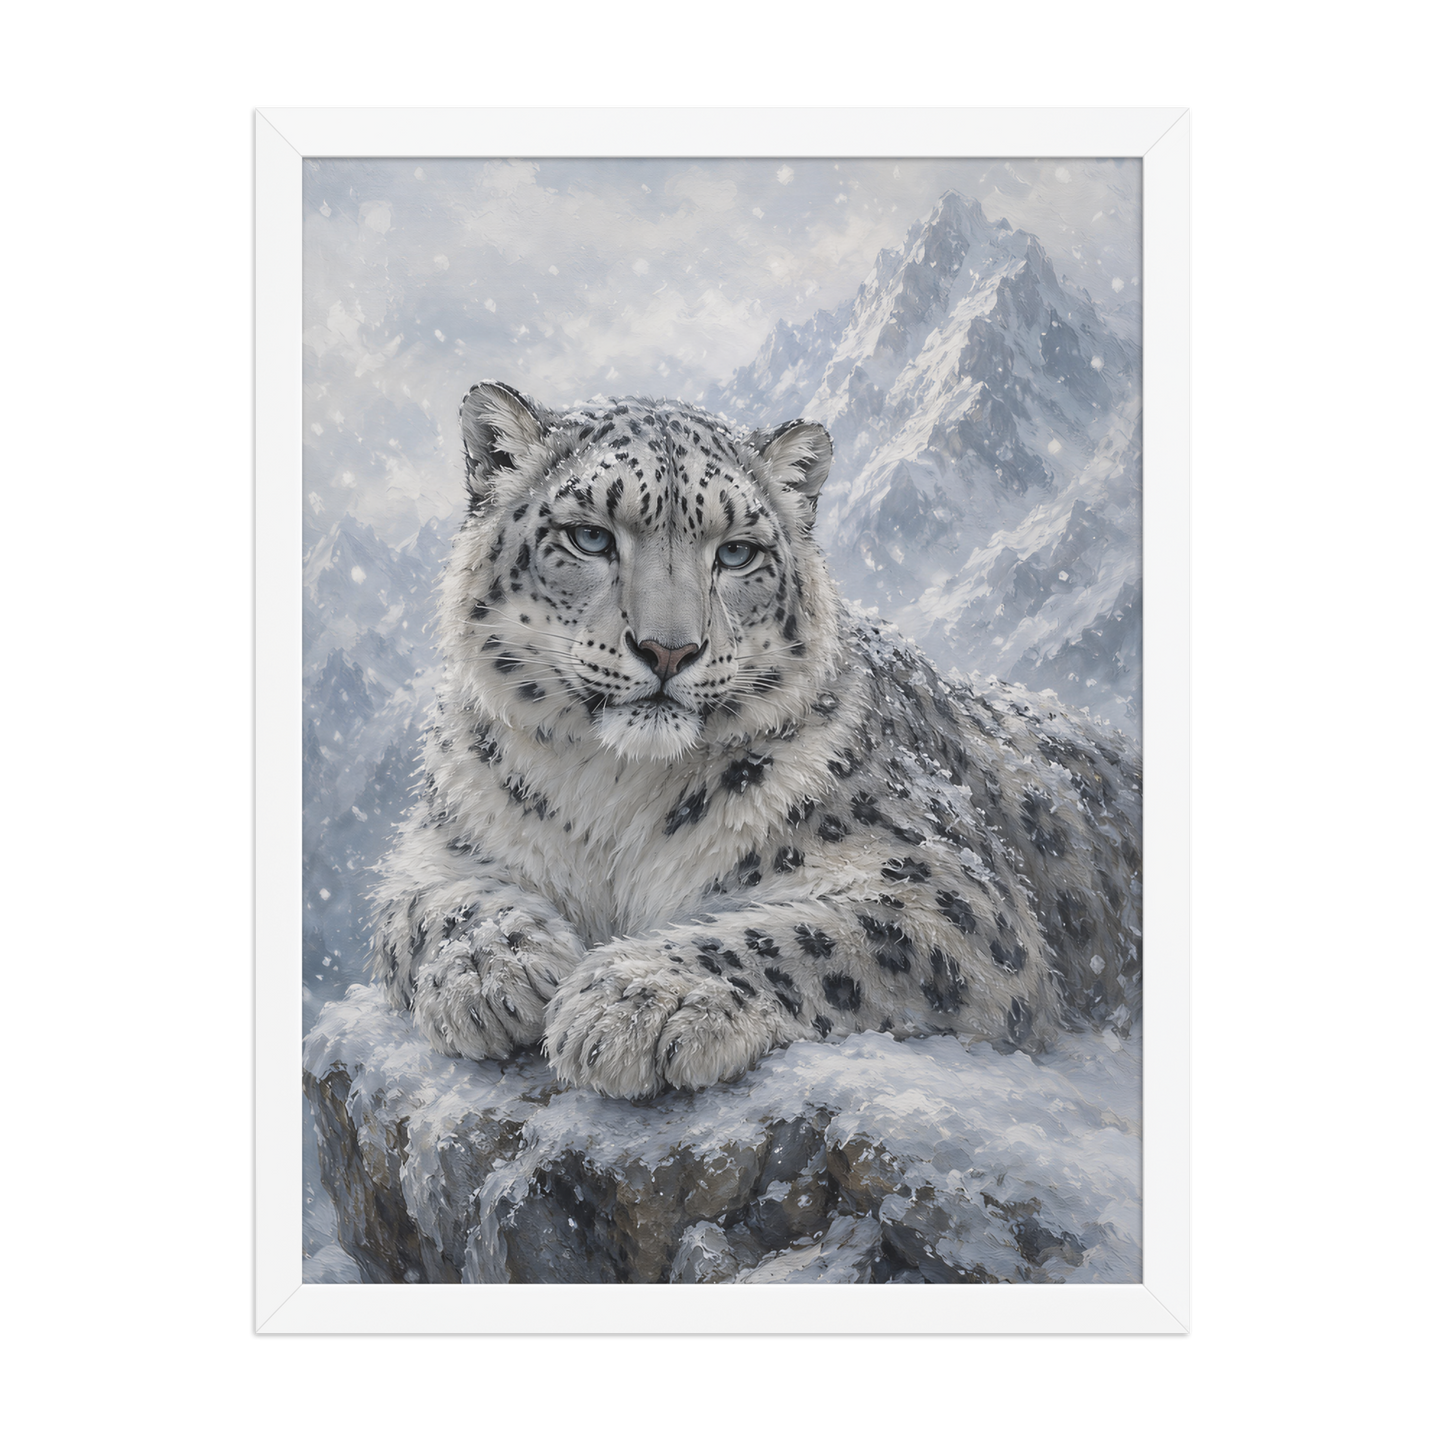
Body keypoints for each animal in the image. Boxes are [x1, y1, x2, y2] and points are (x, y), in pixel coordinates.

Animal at [369, 380, 1142, 1100]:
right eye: (589, 536)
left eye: (737, 552)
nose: (669, 649)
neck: (609, 793)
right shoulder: (442, 844)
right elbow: (431, 904)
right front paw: (492, 971)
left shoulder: (949, 893)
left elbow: (801, 933)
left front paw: (635, 1000)